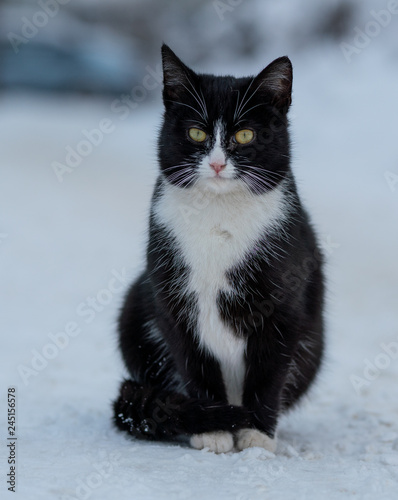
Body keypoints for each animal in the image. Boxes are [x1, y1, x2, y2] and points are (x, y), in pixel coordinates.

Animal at [112, 45, 324, 456]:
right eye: (196, 132)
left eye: (244, 134)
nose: (216, 163)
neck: (218, 214)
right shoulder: (173, 299)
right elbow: (195, 362)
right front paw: (213, 430)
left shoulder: (284, 304)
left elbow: (269, 372)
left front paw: (257, 435)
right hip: (134, 307)